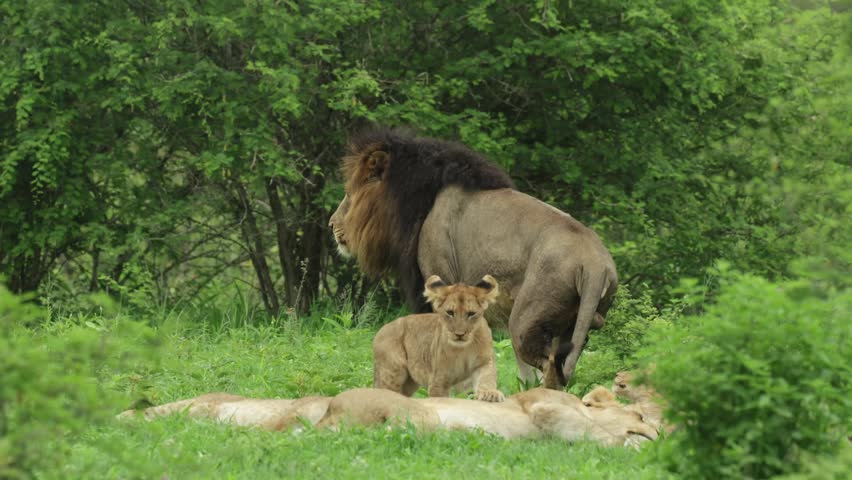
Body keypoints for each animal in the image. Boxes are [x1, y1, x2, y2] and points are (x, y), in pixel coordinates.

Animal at [329, 127, 618, 388]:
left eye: (349, 192)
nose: (331, 224)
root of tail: (595, 264)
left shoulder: (440, 279)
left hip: (525, 320)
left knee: (549, 370)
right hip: (571, 324)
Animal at [372, 274, 504, 402]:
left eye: (471, 314)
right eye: (450, 312)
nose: (459, 334)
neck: (463, 350)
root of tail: (381, 329)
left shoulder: (484, 362)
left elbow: (487, 378)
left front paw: (490, 394)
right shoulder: (439, 380)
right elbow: (440, 398)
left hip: (409, 382)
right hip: (392, 372)